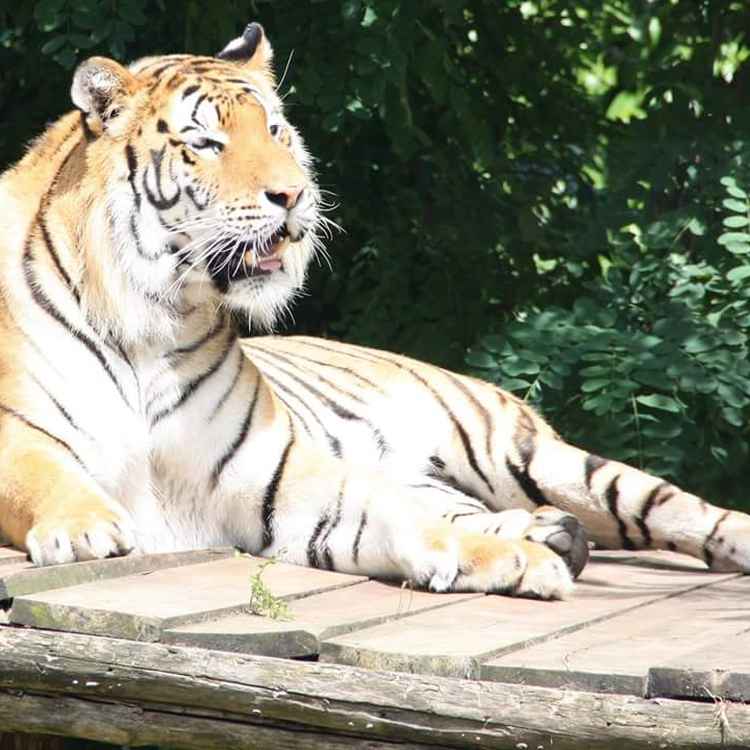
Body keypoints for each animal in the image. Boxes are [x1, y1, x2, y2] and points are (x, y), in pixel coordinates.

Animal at [0, 22, 747, 602]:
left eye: (276, 131)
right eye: (205, 143)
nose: (294, 195)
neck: (155, 321)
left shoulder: (275, 473)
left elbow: (390, 515)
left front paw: (508, 561)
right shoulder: (19, 435)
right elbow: (44, 471)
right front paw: (86, 526)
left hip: (531, 454)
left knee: (672, 506)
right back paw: (547, 534)